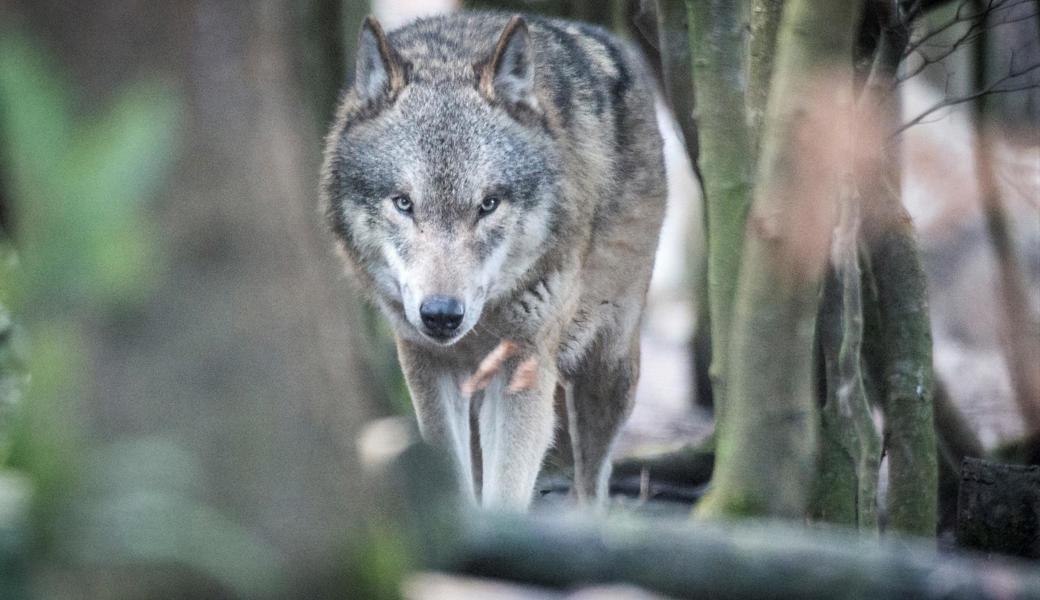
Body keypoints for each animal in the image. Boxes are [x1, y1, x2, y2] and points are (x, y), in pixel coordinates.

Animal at [320, 11, 669, 507]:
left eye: (487, 205)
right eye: (404, 203)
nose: (441, 314)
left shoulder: (521, 367)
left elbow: (506, 492)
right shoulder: (426, 364)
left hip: (609, 367)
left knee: (593, 483)